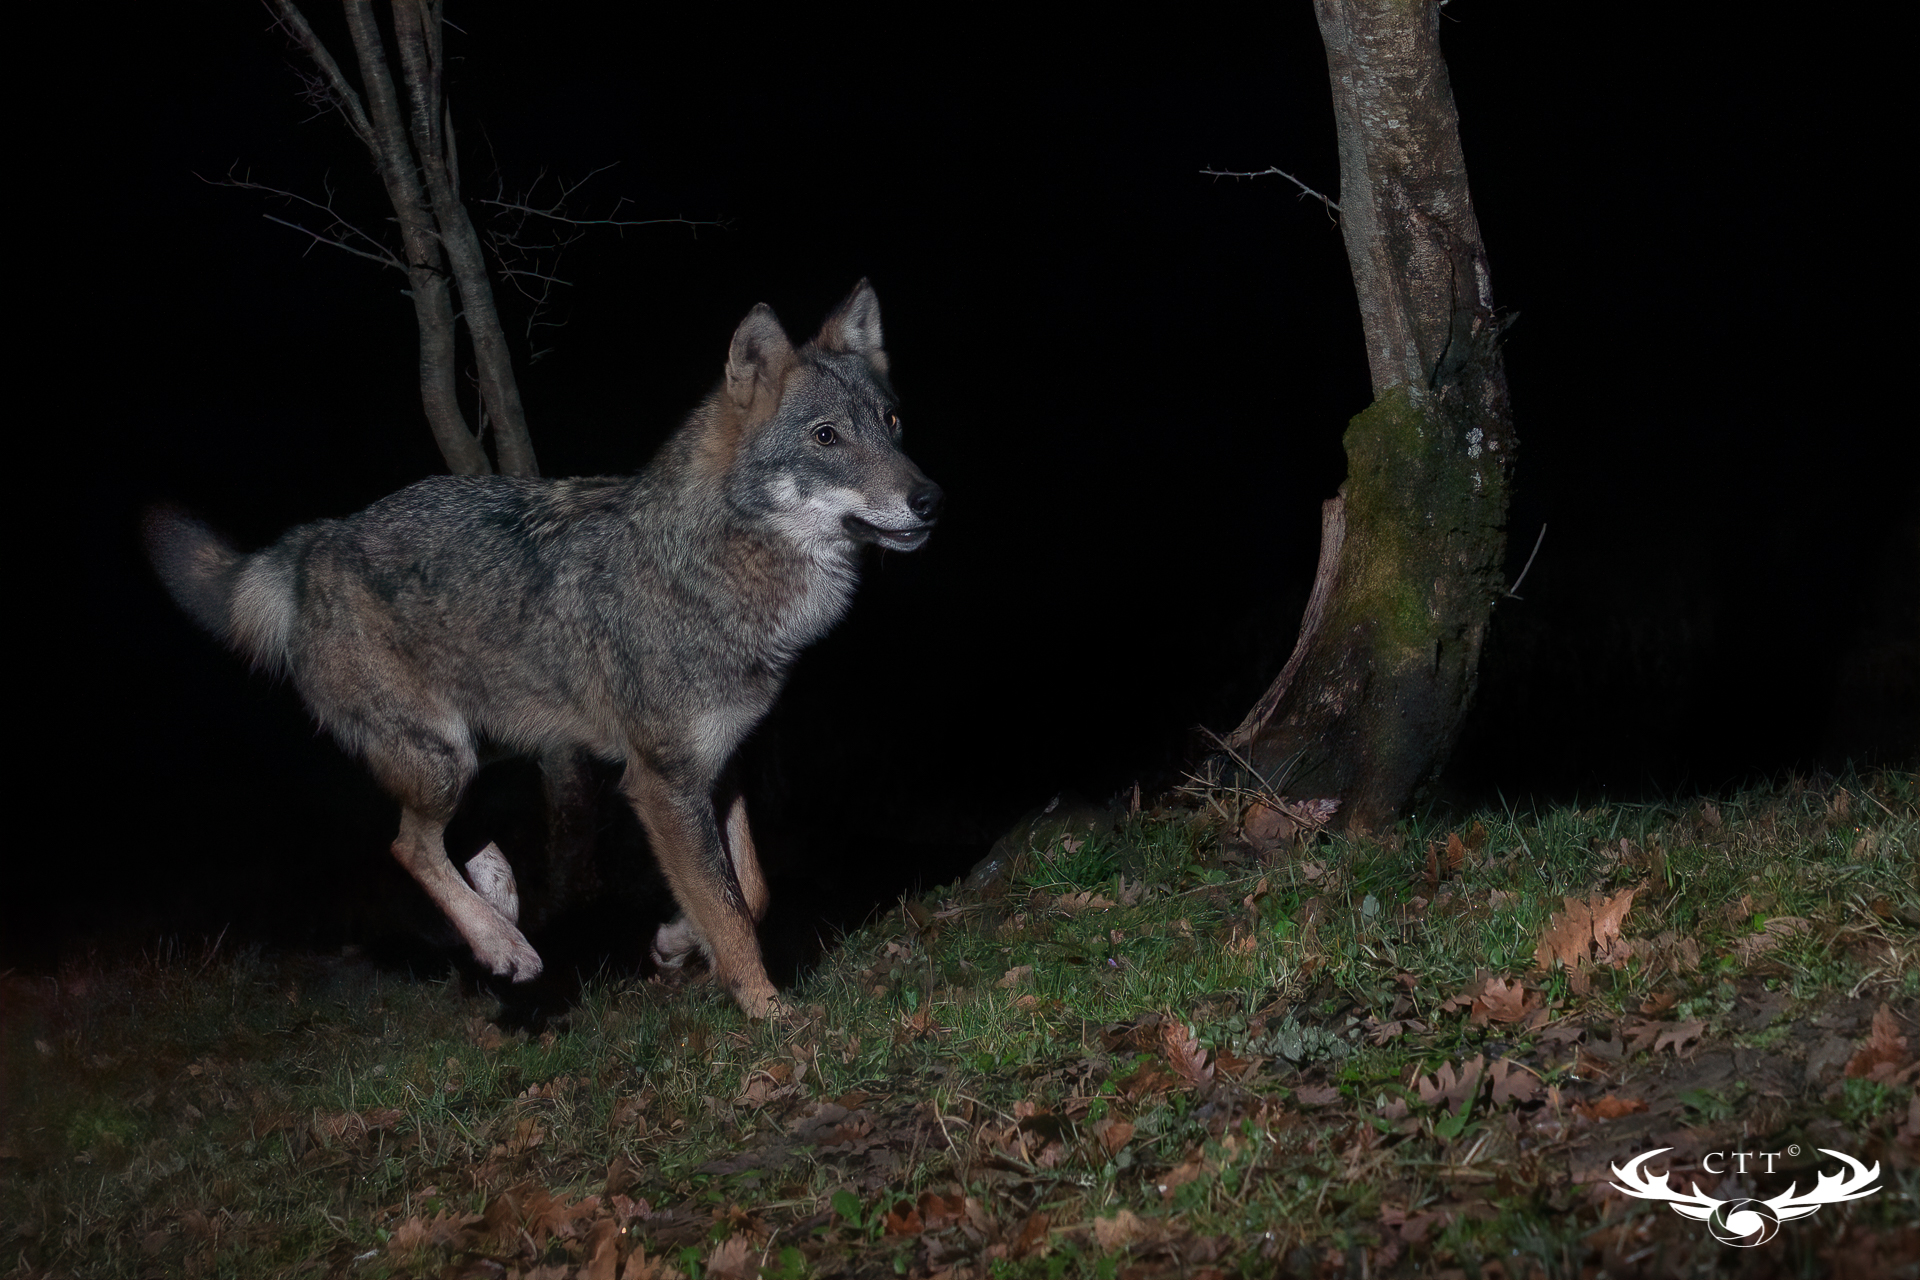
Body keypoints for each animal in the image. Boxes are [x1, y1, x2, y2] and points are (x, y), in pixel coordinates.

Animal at [145, 281, 940, 1018]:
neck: (714, 567)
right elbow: (733, 913)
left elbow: (751, 890)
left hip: (485, 752)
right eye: (827, 437)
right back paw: (502, 944)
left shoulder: (724, 763)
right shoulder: (663, 781)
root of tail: (314, 543)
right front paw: (773, 1017)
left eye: (894, 423)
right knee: (408, 845)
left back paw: (500, 916)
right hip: (442, 760)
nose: (931, 499)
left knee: (449, 840)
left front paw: (677, 941)